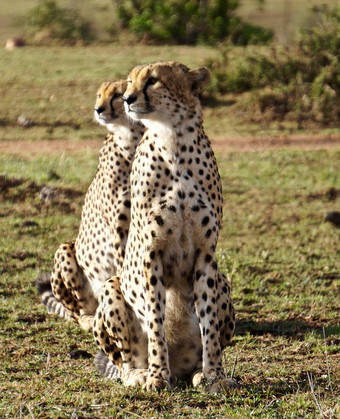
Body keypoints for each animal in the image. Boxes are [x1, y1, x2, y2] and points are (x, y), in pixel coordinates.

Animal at [36, 80, 144, 334]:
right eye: (99, 95)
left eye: (117, 95)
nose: (98, 109)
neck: (132, 137)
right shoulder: (119, 227)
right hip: (65, 249)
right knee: (78, 312)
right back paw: (90, 318)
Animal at [94, 62, 235, 394]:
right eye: (129, 82)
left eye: (153, 81)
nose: (129, 100)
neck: (173, 140)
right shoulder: (151, 253)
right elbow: (156, 319)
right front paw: (158, 375)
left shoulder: (206, 254)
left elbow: (209, 321)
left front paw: (214, 375)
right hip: (110, 287)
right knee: (124, 359)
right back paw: (139, 373)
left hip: (224, 281)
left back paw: (196, 370)